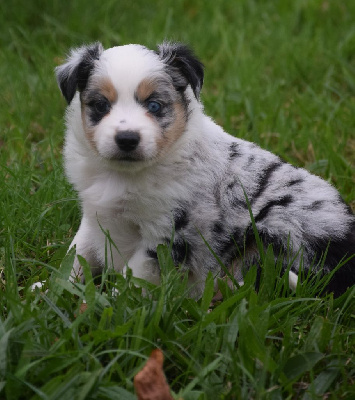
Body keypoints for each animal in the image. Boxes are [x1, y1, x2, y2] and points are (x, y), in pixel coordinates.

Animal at [54, 41, 354, 296]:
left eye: (155, 105)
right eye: (101, 105)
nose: (127, 139)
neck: (125, 174)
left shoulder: (166, 234)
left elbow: (131, 278)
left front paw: (106, 307)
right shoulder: (94, 217)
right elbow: (75, 255)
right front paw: (51, 293)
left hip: (283, 227)